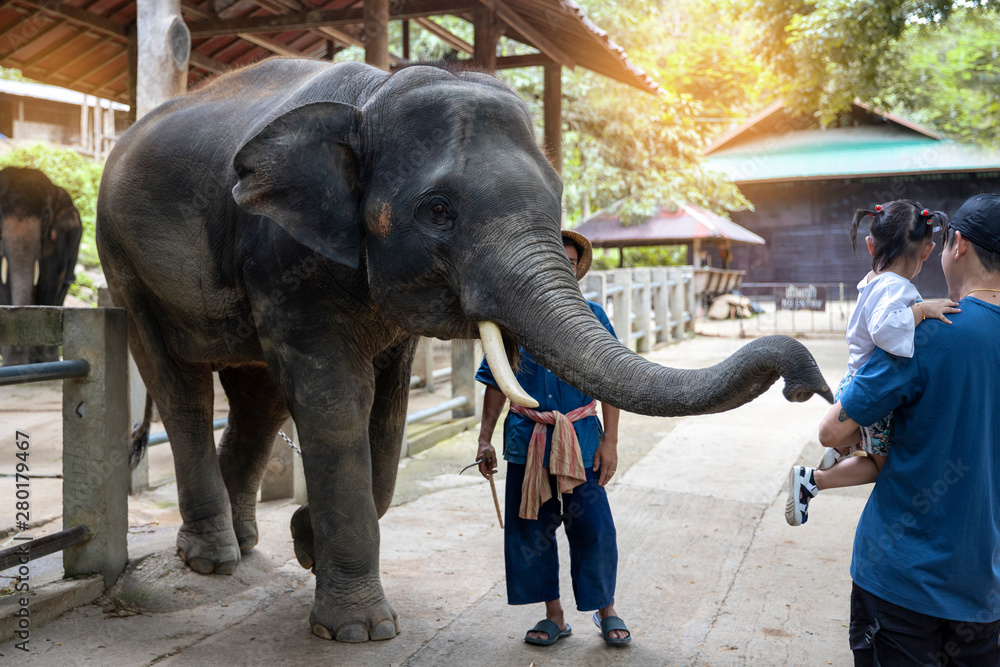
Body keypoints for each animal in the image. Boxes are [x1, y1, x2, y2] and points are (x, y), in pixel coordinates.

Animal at [0, 166, 82, 365]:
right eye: (0, 212)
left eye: (46, 216)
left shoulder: (59, 238)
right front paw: (15, 363)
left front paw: (43, 360)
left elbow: (49, 279)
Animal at [96, 58, 833, 644]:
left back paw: (247, 541)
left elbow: (387, 415)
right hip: (120, 262)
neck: (376, 94)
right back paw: (211, 558)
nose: (809, 384)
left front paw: (306, 540)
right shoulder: (284, 256)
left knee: (257, 397)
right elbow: (335, 400)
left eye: (557, 201)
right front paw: (359, 629)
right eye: (438, 211)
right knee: (181, 388)